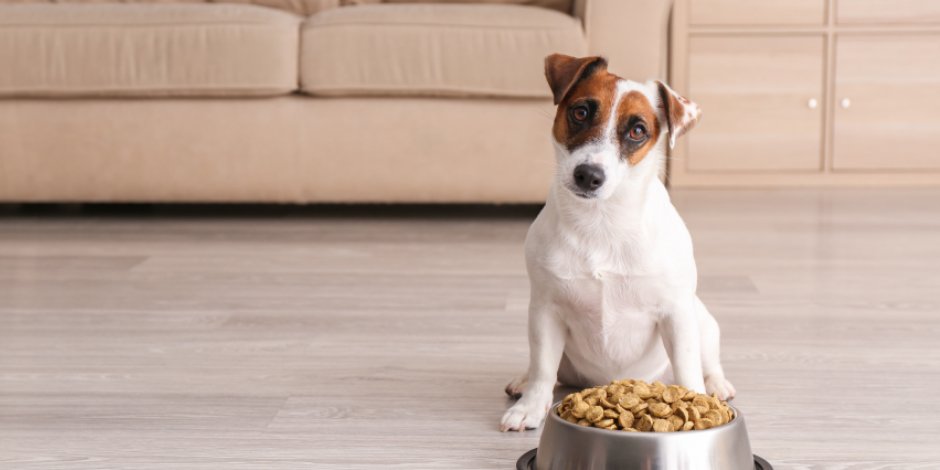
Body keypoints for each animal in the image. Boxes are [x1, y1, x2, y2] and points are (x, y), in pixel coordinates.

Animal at [500, 53, 736, 432]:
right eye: (581, 112)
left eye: (637, 131)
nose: (589, 175)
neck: (603, 220)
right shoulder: (546, 311)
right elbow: (543, 368)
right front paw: (530, 406)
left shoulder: (676, 314)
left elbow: (688, 368)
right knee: (549, 369)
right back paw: (523, 381)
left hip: (701, 319)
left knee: (707, 361)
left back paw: (717, 384)